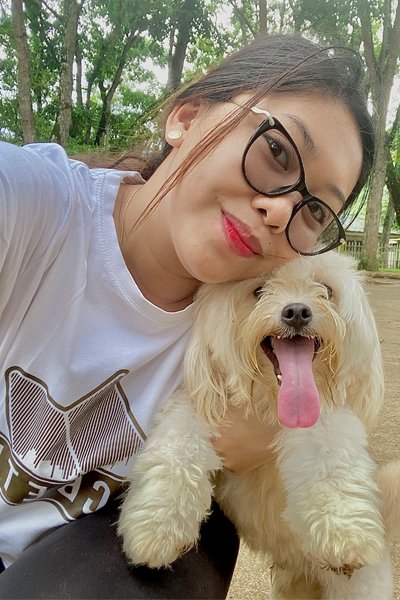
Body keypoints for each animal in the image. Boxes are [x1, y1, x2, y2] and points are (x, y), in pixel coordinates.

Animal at [118, 252, 393, 599]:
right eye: (259, 290)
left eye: (327, 290)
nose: (297, 312)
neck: (269, 403)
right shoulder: (198, 403)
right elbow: (176, 446)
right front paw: (157, 524)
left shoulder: (327, 417)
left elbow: (332, 461)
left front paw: (344, 531)